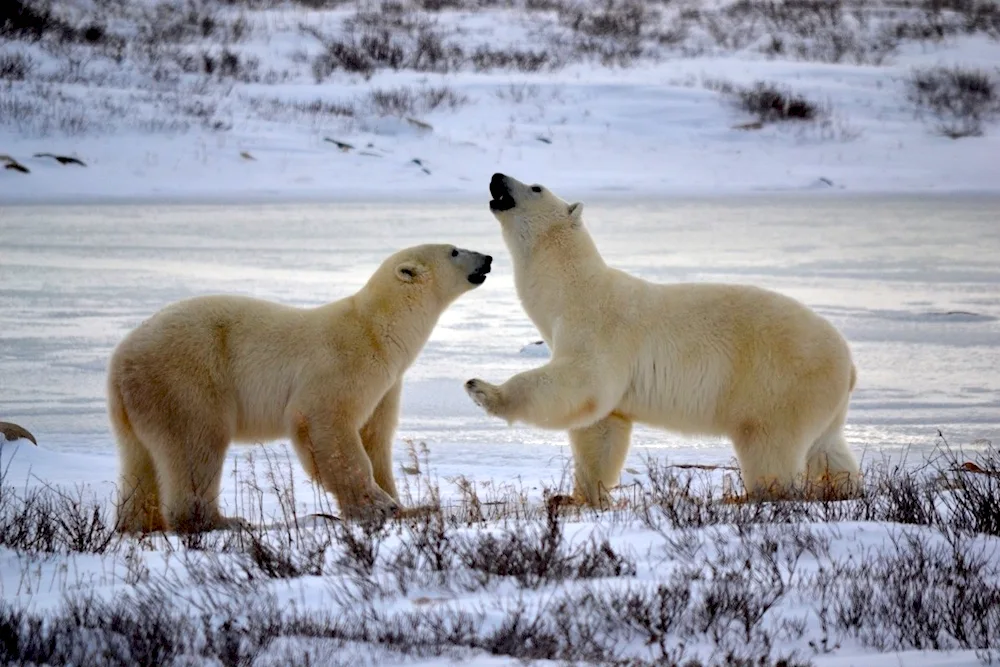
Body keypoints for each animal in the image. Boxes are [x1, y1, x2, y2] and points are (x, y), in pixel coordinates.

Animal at [109, 244, 492, 532]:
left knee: (140, 460)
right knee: (197, 442)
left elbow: (374, 437)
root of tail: (120, 358)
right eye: (454, 250)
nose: (487, 258)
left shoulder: (387, 385)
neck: (377, 327)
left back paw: (140, 523)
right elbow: (325, 423)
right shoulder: (345, 362)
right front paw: (378, 506)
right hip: (185, 378)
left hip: (138, 401)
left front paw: (411, 506)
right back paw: (220, 521)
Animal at [464, 172, 864, 506]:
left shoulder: (600, 332)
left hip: (779, 383)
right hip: (822, 401)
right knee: (828, 448)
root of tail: (848, 362)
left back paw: (749, 496)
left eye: (536, 187)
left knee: (769, 445)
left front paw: (482, 390)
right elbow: (601, 427)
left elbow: (581, 384)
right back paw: (841, 489)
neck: (574, 290)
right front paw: (578, 497)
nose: (497, 175)